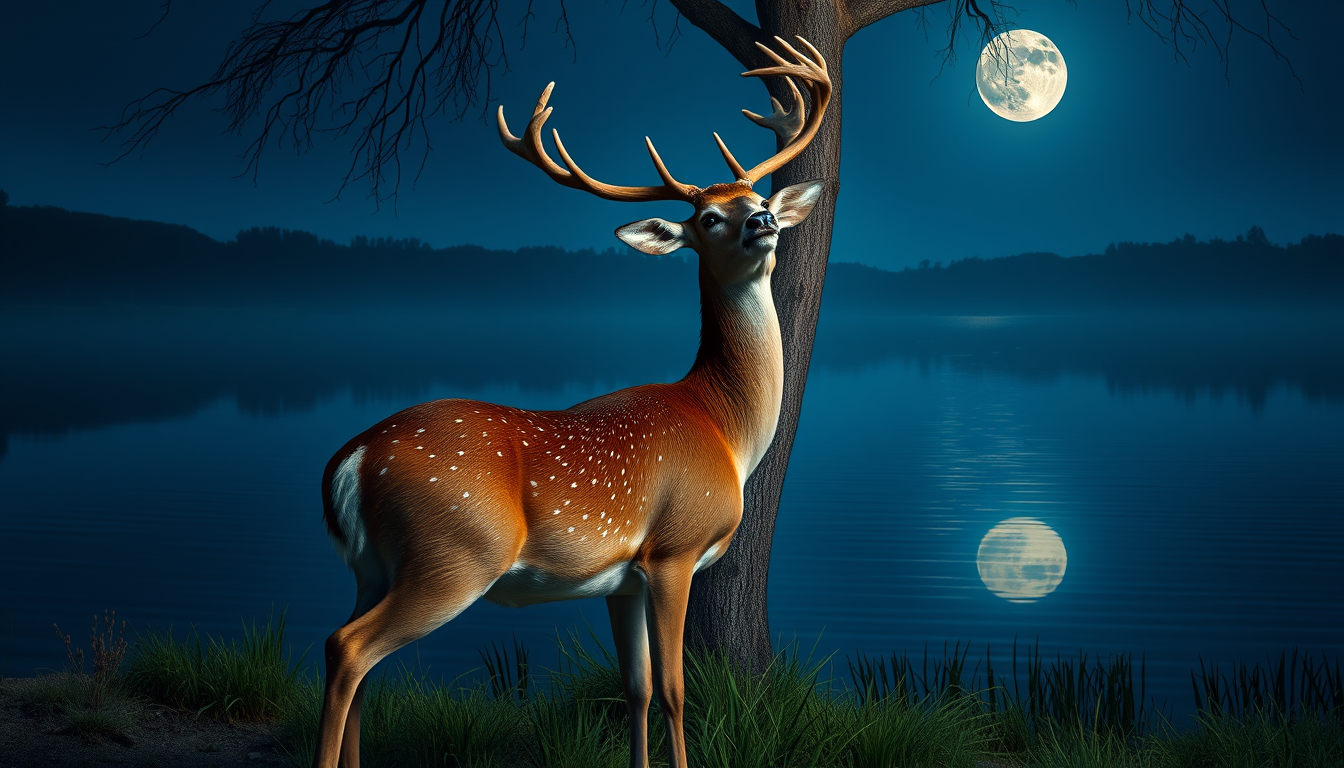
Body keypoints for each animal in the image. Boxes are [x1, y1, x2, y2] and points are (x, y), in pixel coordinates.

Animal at [312, 36, 831, 768]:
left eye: (756, 195)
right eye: (707, 217)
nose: (761, 221)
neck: (723, 425)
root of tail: (351, 460)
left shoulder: (621, 580)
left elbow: (635, 688)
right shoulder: (673, 551)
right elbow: (675, 692)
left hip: (371, 565)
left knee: (354, 657)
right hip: (454, 553)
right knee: (347, 648)